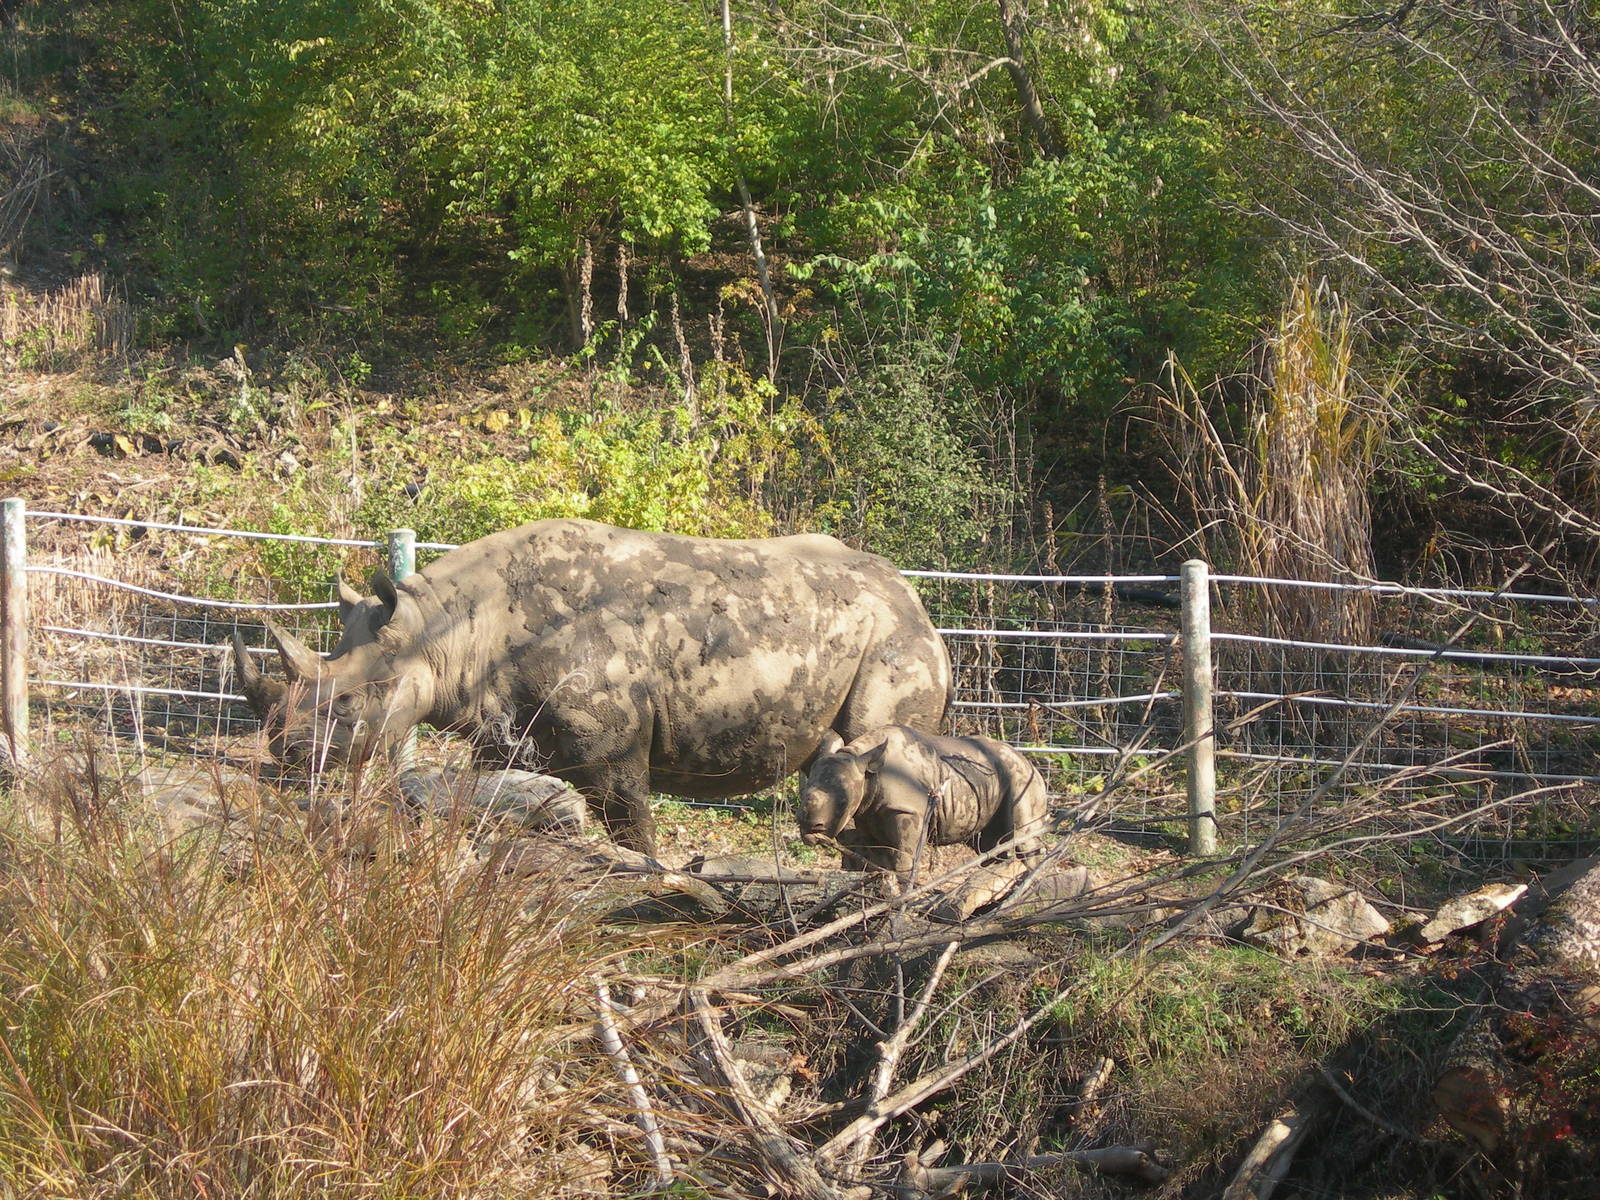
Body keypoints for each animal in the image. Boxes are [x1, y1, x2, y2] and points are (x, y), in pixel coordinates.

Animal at [231, 518, 951, 854]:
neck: (440, 633)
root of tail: (918, 602)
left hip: (894, 642)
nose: (286, 757)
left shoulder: (613, 746)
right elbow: (489, 797)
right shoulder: (500, 726)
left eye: (350, 703)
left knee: (874, 745)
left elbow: (634, 830)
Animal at [799, 725, 1046, 878]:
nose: (810, 830)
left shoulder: (908, 811)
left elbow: (903, 860)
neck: (868, 773)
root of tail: (1032, 765)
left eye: (843, 803)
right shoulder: (867, 814)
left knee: (1024, 839)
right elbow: (872, 860)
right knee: (989, 845)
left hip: (1022, 779)